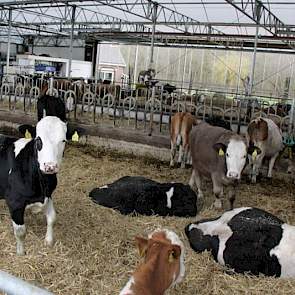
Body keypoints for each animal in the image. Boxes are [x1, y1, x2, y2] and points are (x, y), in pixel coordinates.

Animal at [0, 117, 67, 256]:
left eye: (63, 140)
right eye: (38, 140)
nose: (50, 166)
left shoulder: (48, 195)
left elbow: (52, 218)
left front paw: (48, 241)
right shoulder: (14, 201)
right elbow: (20, 232)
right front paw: (21, 253)